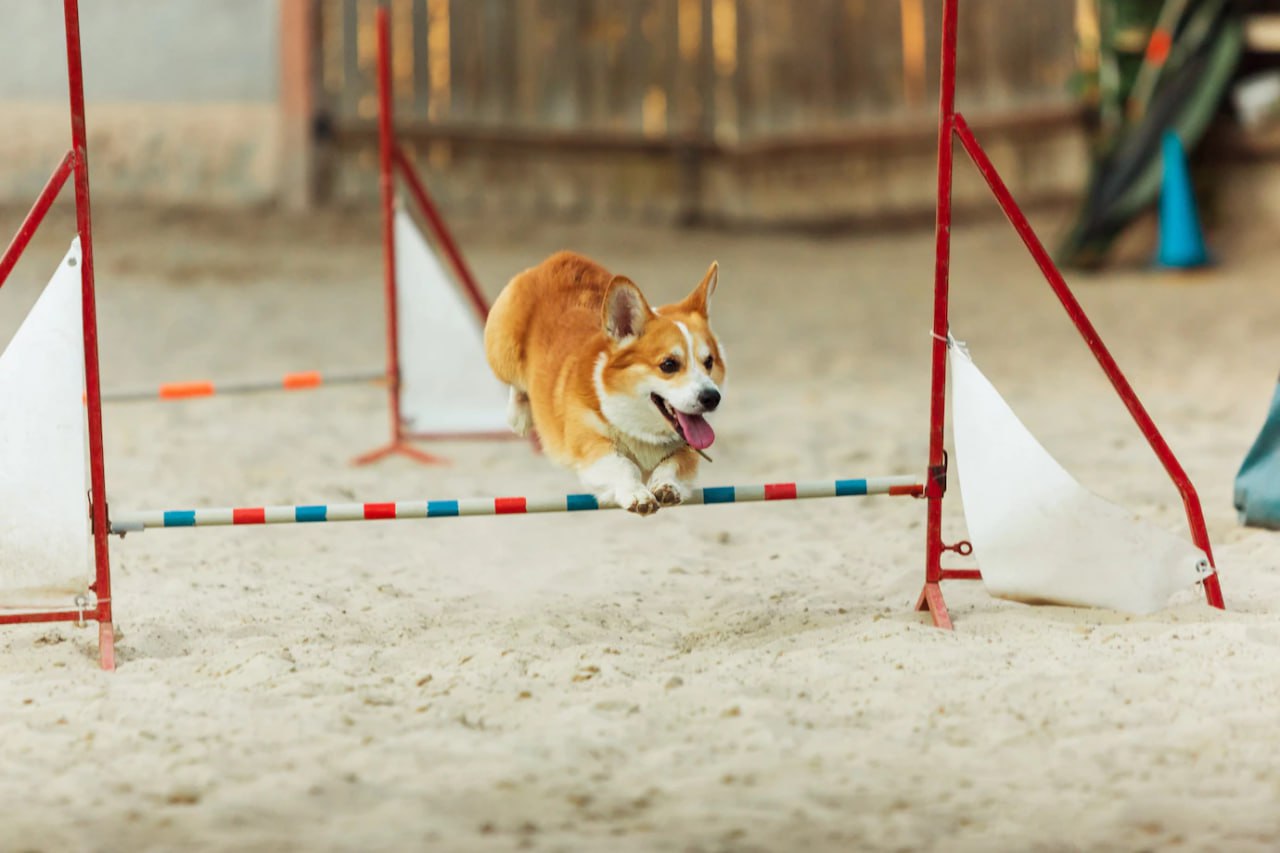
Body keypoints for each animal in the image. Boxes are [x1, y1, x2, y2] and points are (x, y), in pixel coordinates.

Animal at [483, 249, 727, 514]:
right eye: (669, 365)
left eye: (709, 362)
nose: (712, 397)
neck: (641, 429)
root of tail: (560, 258)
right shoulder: (592, 447)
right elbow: (623, 466)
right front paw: (637, 494)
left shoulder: (688, 451)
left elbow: (672, 466)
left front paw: (666, 486)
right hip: (502, 352)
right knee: (514, 383)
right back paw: (519, 416)